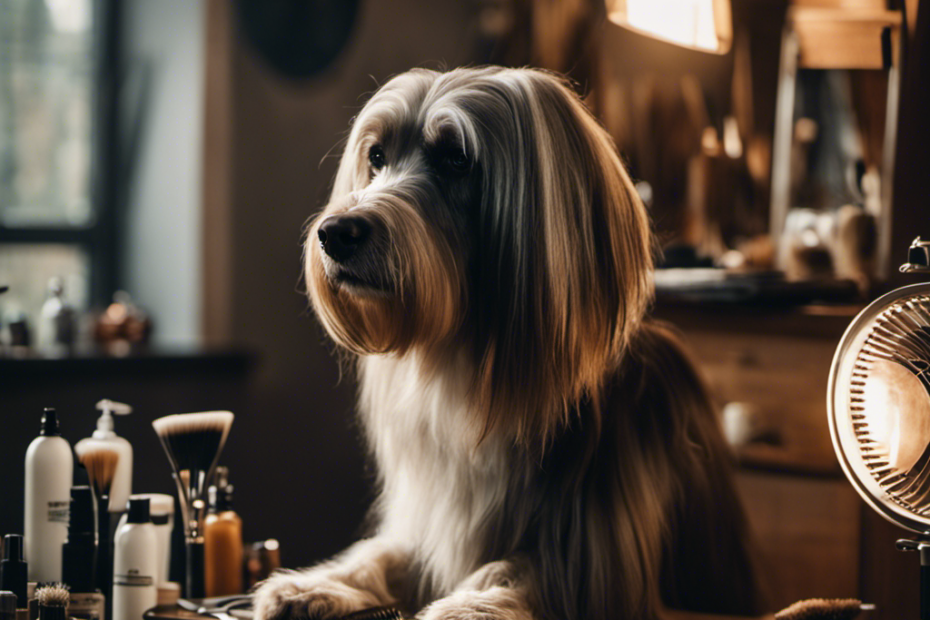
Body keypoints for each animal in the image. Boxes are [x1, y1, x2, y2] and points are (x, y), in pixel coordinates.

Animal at [252, 66, 760, 620]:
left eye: (456, 159)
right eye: (377, 157)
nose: (335, 232)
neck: (467, 365)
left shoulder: (602, 564)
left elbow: (522, 570)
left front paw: (468, 605)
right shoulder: (430, 526)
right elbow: (381, 554)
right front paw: (317, 584)